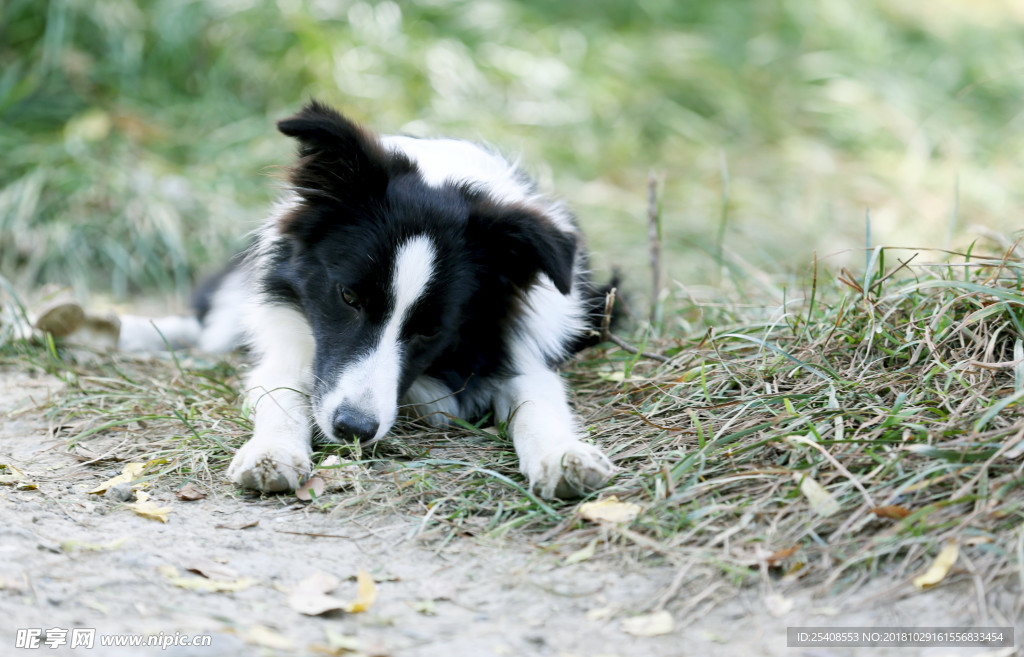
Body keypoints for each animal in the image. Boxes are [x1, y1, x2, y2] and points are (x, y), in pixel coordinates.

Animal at [120, 101, 614, 495]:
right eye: (348, 296)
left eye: (432, 329)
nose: (354, 430)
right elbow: (282, 390)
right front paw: (271, 451)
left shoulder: (518, 346)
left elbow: (538, 398)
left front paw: (563, 456)